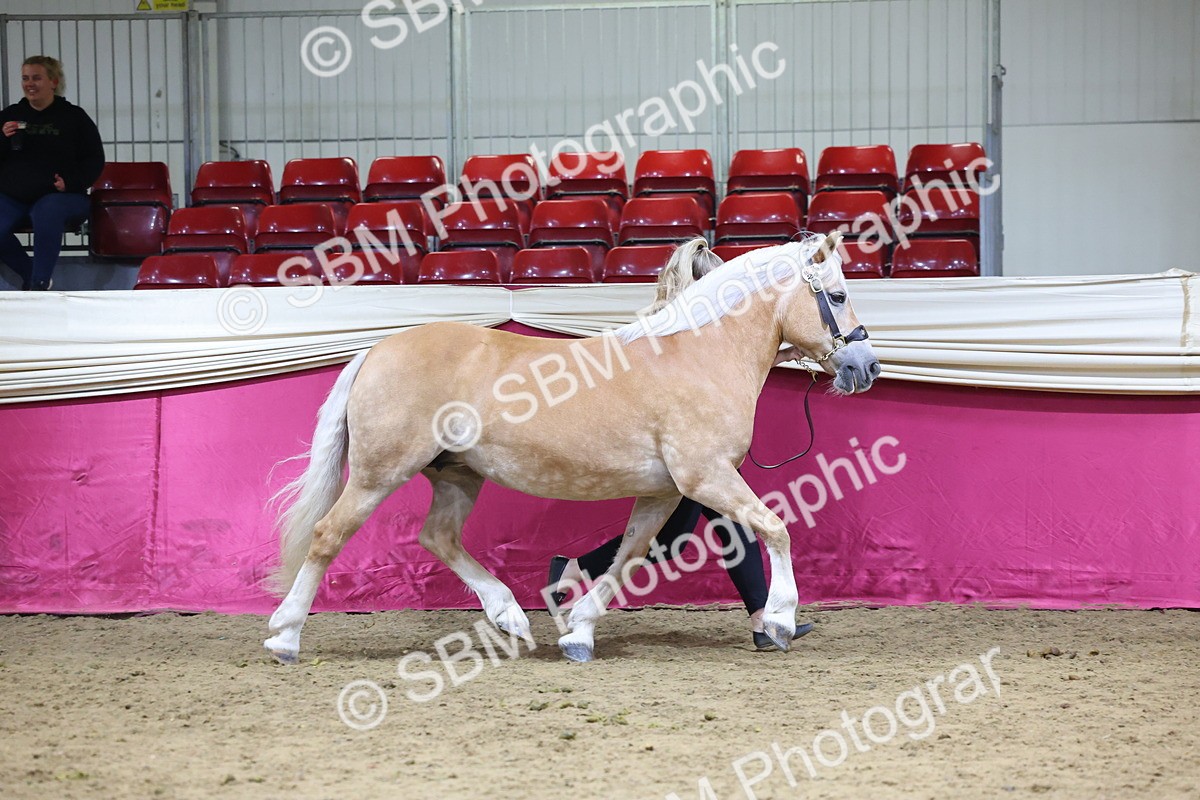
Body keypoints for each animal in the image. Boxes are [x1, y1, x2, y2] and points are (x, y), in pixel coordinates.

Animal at [264, 231, 880, 663]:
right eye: (839, 294)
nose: (866, 365)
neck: (699, 354)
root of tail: (377, 350)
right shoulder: (707, 478)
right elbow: (776, 528)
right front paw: (780, 621)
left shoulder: (664, 493)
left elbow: (629, 556)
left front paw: (579, 631)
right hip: (379, 473)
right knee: (328, 535)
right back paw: (285, 636)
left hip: (457, 474)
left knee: (438, 537)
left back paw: (511, 616)